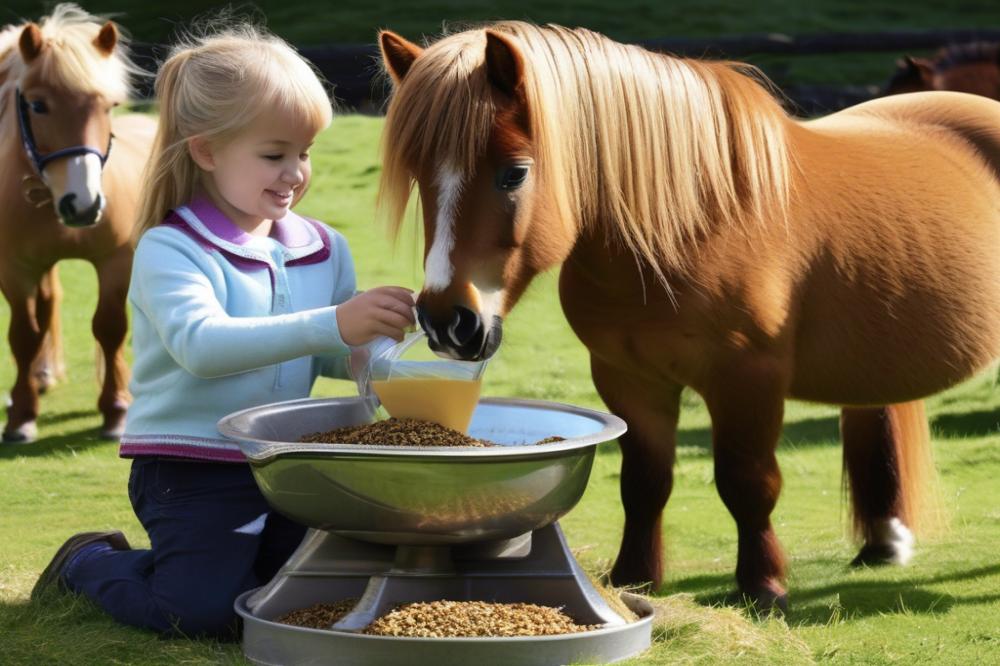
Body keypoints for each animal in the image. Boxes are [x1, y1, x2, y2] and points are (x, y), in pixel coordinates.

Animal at [0, 6, 154, 440]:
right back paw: (39, 378)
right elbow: (24, 335)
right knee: (47, 306)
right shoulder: (16, 269)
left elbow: (110, 328)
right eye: (37, 105)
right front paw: (21, 417)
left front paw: (116, 411)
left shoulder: (115, 260)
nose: (83, 205)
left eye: (109, 105)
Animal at [378, 22, 1000, 612]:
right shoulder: (629, 379)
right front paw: (632, 579)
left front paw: (763, 588)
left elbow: (748, 482)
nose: (447, 322)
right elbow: (644, 483)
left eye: (514, 173)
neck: (693, 225)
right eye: (420, 176)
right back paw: (881, 545)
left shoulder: (747, 381)